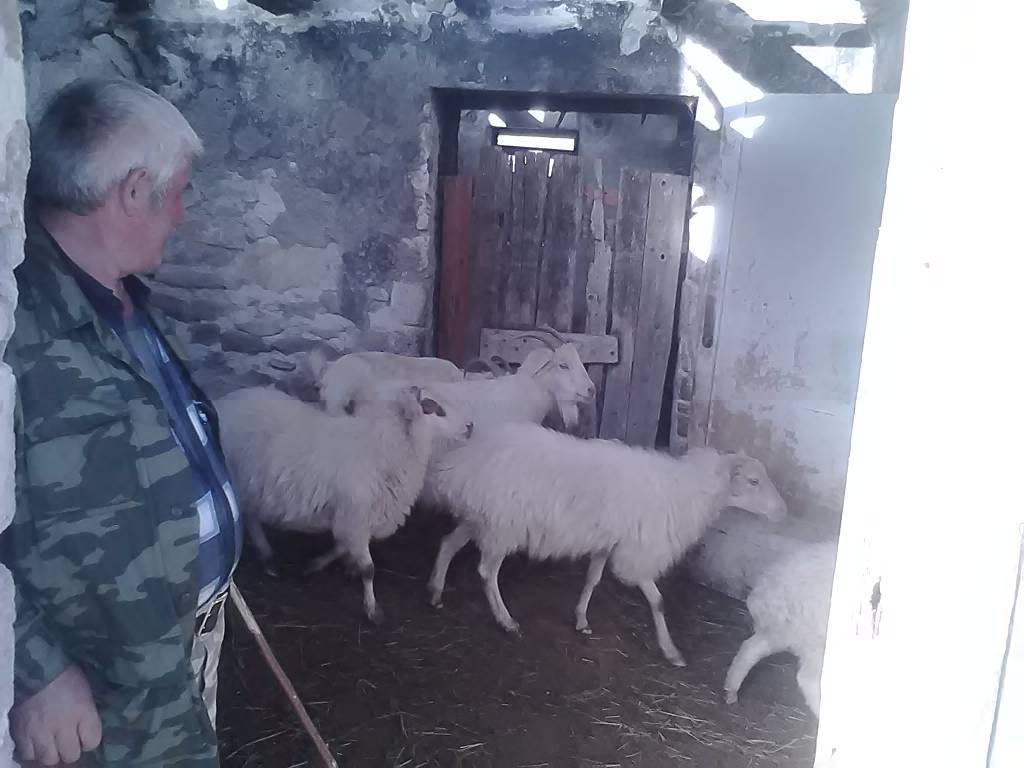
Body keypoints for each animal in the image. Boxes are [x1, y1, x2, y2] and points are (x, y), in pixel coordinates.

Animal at [215, 385, 473, 623]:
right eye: (432, 407)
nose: (470, 426)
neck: (382, 449)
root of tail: (224, 402)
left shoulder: (353, 520)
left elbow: (341, 547)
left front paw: (315, 565)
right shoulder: (355, 516)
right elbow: (368, 569)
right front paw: (372, 610)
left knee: (250, 516)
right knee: (250, 518)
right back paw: (267, 557)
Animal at [427, 422, 788, 666]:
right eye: (753, 481)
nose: (783, 511)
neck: (689, 490)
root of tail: (463, 461)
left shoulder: (607, 541)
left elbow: (593, 579)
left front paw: (581, 620)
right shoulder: (637, 552)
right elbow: (658, 601)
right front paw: (671, 651)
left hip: (481, 518)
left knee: (448, 543)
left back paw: (435, 591)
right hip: (502, 525)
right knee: (487, 572)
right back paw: (506, 621)